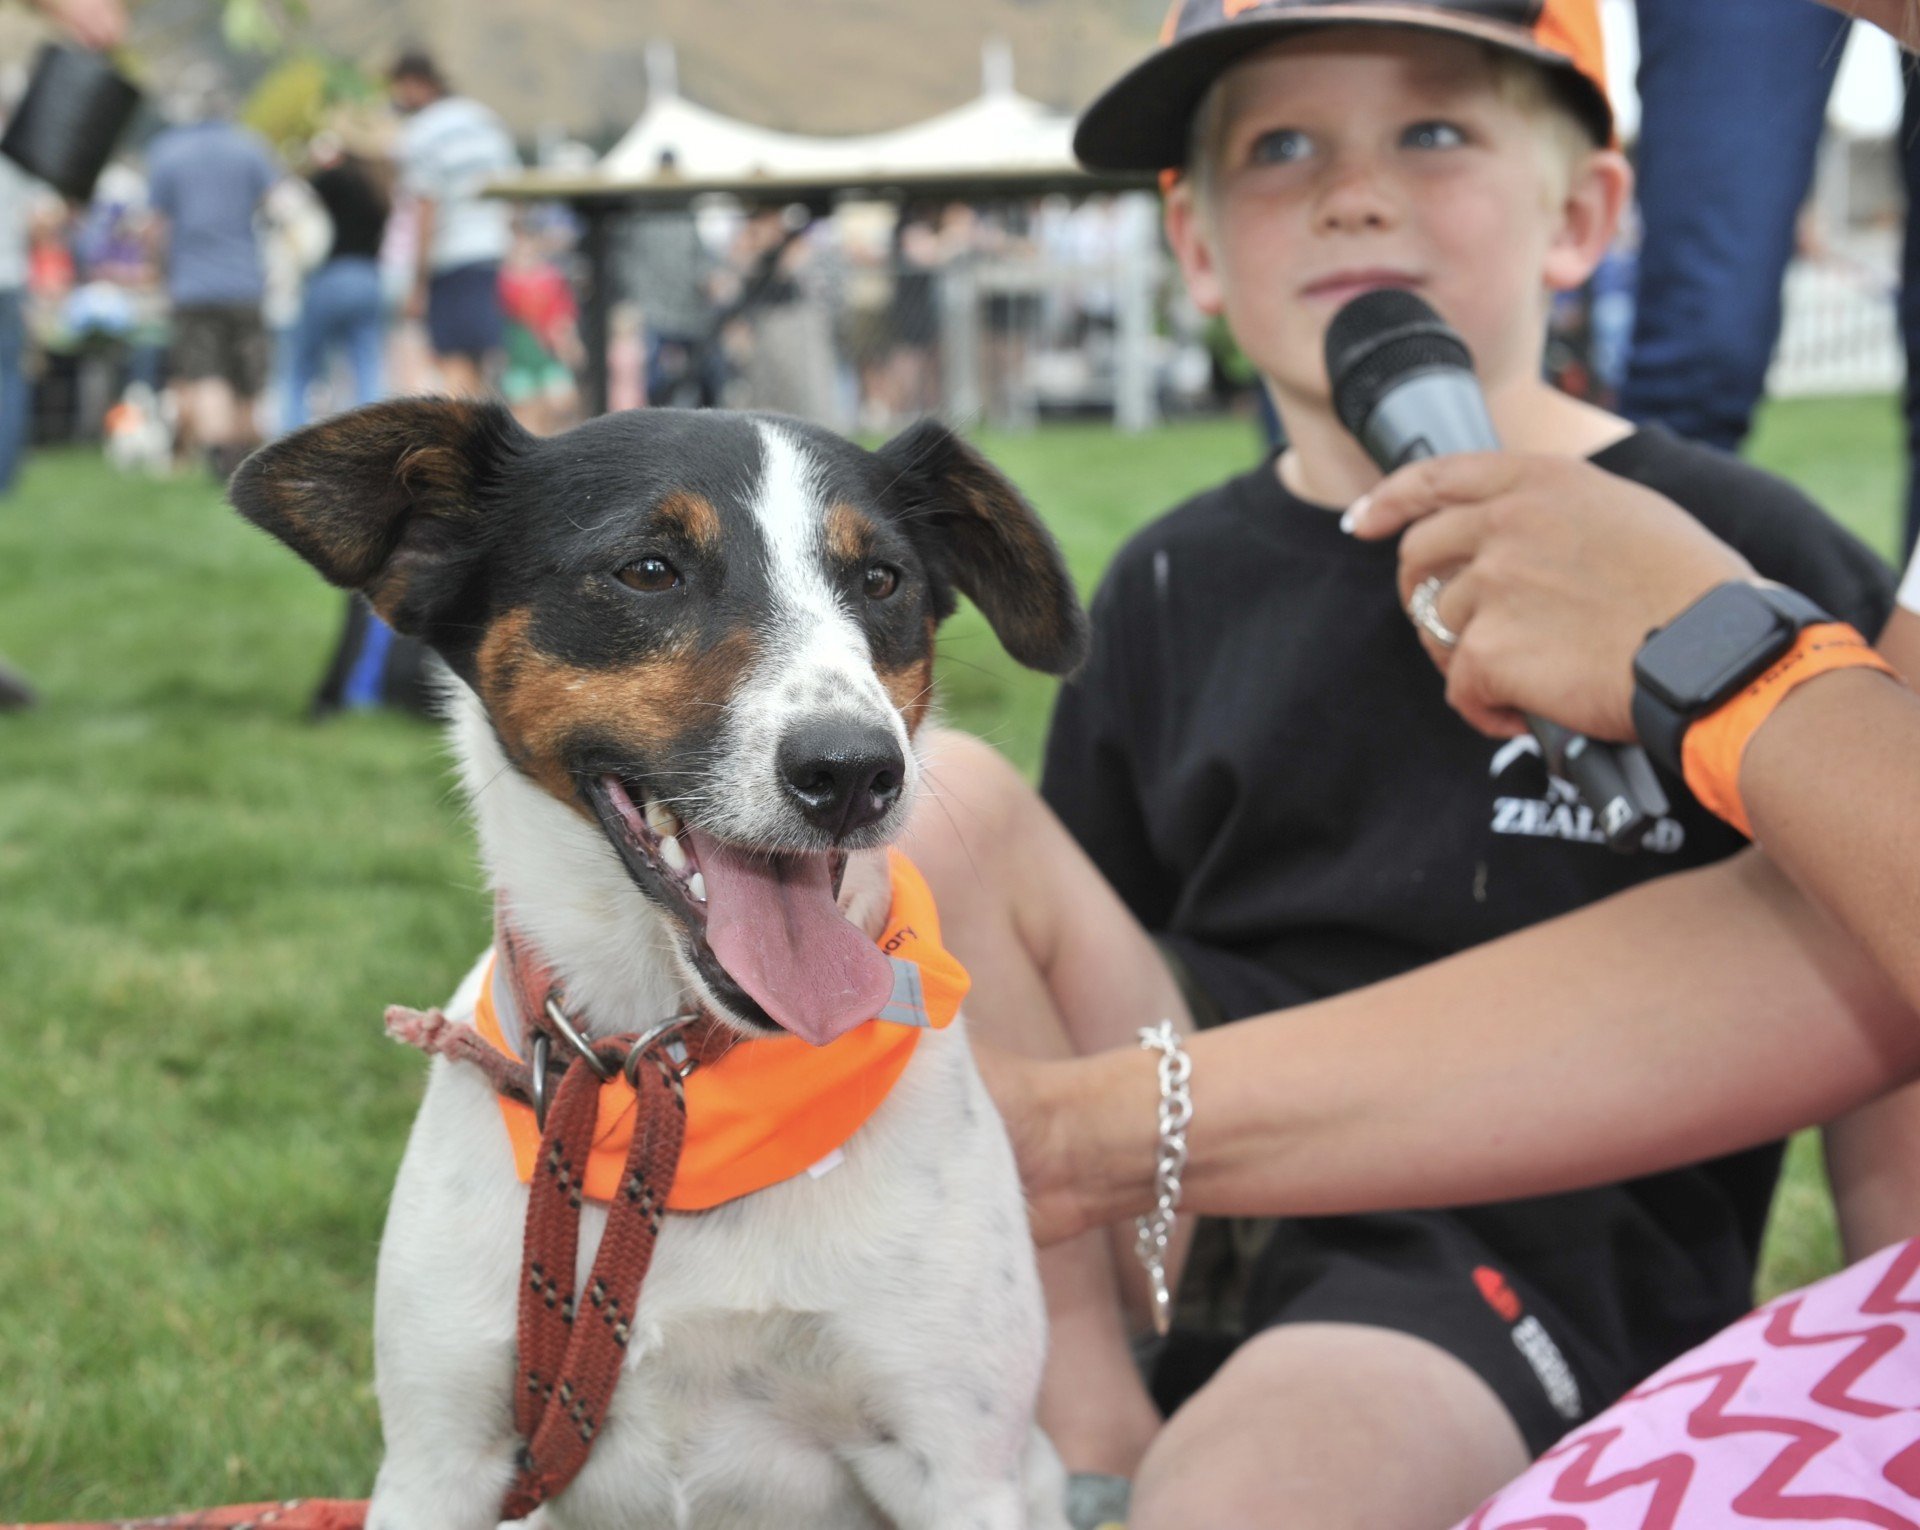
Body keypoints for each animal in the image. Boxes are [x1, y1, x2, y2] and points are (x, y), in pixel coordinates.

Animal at [228, 403, 1082, 1528]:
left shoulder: (961, 1468)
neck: (660, 1078)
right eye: (647, 569)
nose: (856, 771)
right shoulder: (437, 1463)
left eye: (881, 579)